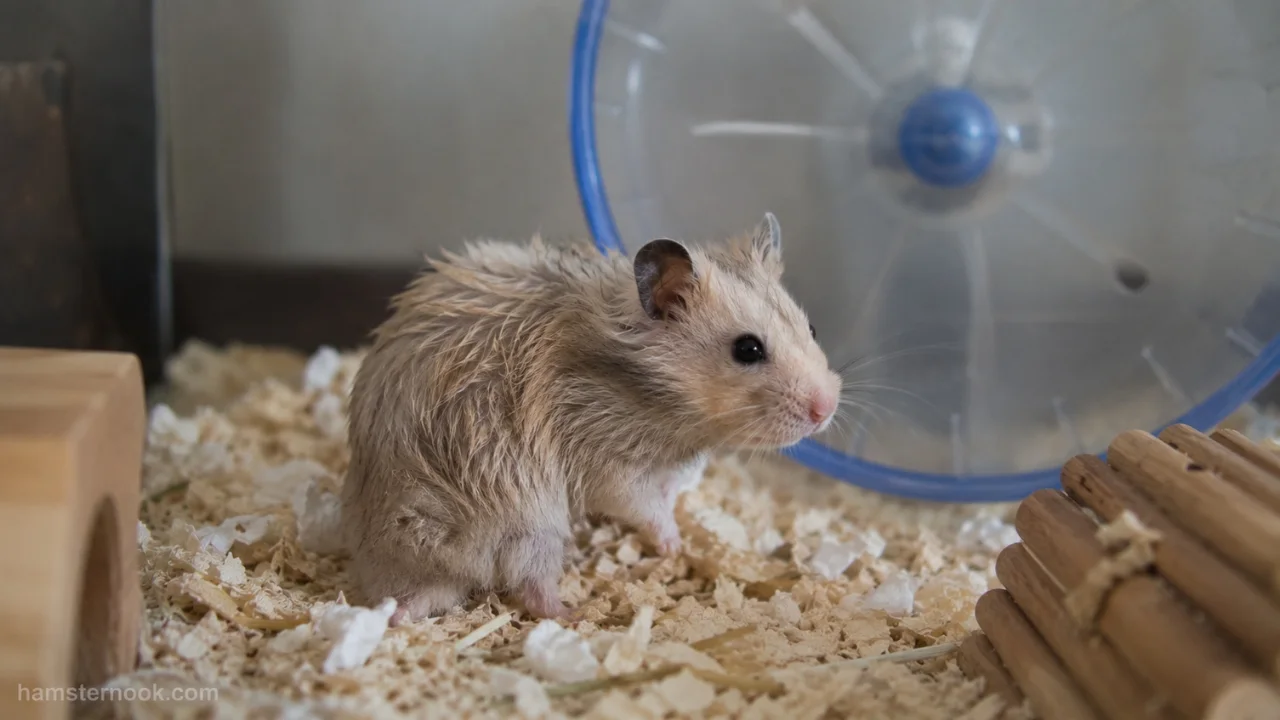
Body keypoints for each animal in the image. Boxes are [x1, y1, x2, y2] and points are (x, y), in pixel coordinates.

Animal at [341, 213, 842, 624]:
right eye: (748, 349)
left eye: (813, 328)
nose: (826, 409)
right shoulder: (607, 457)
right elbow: (645, 506)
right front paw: (674, 544)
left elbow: (668, 492)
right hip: (527, 515)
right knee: (531, 587)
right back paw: (577, 612)